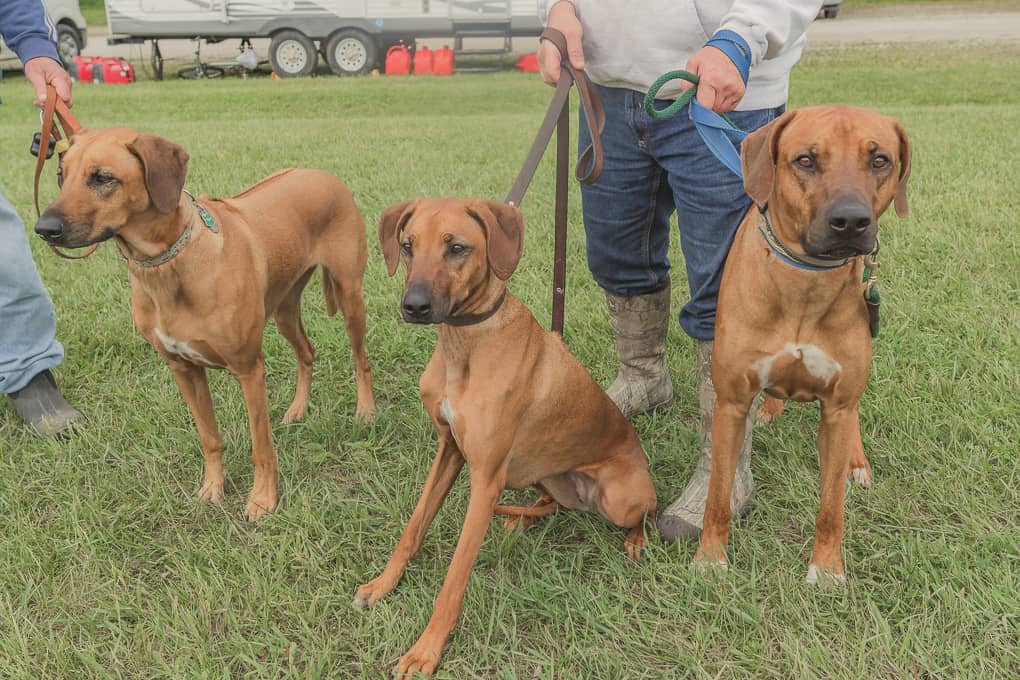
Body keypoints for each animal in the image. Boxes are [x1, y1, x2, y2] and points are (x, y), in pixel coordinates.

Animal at [35, 128, 381, 521]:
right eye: (61, 175)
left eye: (102, 177)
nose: (44, 228)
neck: (166, 263)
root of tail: (320, 173)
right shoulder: (183, 369)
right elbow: (209, 438)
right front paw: (212, 487)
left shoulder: (249, 369)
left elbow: (261, 446)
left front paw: (262, 499)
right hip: (284, 308)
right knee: (307, 352)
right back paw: (297, 409)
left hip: (350, 295)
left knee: (361, 358)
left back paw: (366, 411)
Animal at [359, 199, 656, 676]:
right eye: (407, 246)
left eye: (457, 247)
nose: (414, 306)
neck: (464, 346)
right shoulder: (450, 451)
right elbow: (413, 527)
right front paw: (383, 584)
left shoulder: (485, 477)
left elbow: (454, 577)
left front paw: (425, 651)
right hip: (543, 474)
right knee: (551, 503)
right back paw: (520, 516)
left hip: (620, 499)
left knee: (647, 511)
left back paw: (637, 539)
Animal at [697, 107, 913, 587]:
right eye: (806, 160)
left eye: (880, 160)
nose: (850, 221)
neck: (805, 280)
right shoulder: (730, 403)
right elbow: (718, 494)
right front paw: (709, 559)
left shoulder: (837, 406)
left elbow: (831, 507)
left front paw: (828, 569)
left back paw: (856, 461)